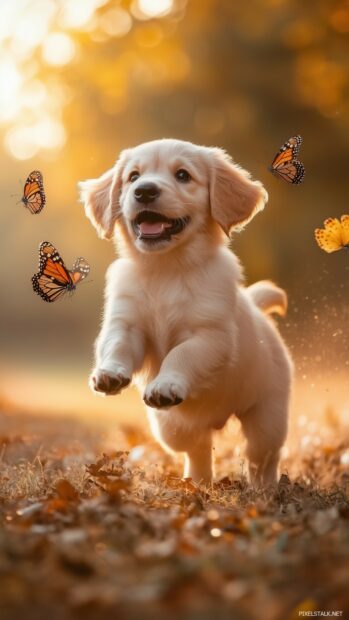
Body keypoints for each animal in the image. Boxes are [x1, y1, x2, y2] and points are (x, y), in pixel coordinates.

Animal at [79, 139, 290, 484]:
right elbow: (118, 345)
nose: (144, 191)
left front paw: (165, 384)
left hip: (267, 416)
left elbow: (181, 354)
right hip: (171, 426)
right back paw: (197, 482)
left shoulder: (210, 336)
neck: (167, 269)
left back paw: (264, 488)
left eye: (183, 175)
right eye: (133, 176)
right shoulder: (126, 323)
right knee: (198, 449)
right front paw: (109, 373)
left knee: (262, 458)